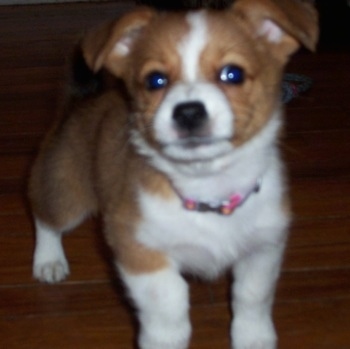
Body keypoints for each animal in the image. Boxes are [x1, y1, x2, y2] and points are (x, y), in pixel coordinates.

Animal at [28, 1, 318, 346]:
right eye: (155, 80)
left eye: (232, 74)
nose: (189, 111)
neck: (208, 190)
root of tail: (80, 102)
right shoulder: (141, 251)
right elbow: (169, 306)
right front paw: (164, 341)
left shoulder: (263, 248)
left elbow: (252, 297)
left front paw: (253, 337)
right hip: (67, 194)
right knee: (45, 217)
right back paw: (48, 260)